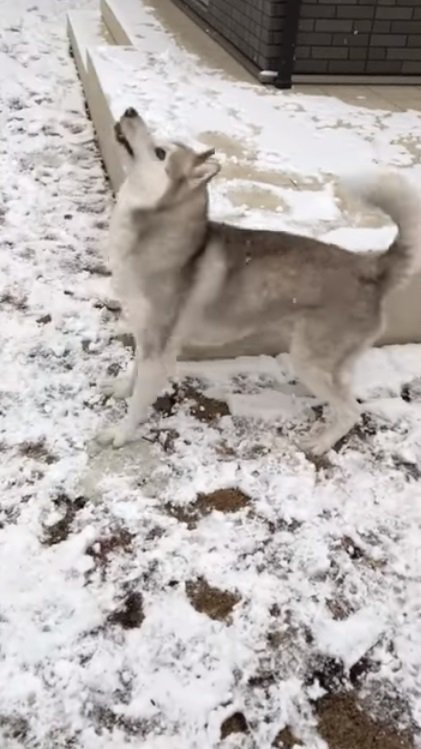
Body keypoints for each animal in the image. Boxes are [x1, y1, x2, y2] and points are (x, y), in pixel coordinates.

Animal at [99, 106, 420, 452]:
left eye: (160, 152)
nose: (130, 110)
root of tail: (370, 267)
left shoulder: (158, 351)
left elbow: (137, 404)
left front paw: (119, 434)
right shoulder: (145, 336)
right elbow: (133, 374)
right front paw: (122, 389)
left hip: (310, 360)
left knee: (351, 411)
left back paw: (321, 443)